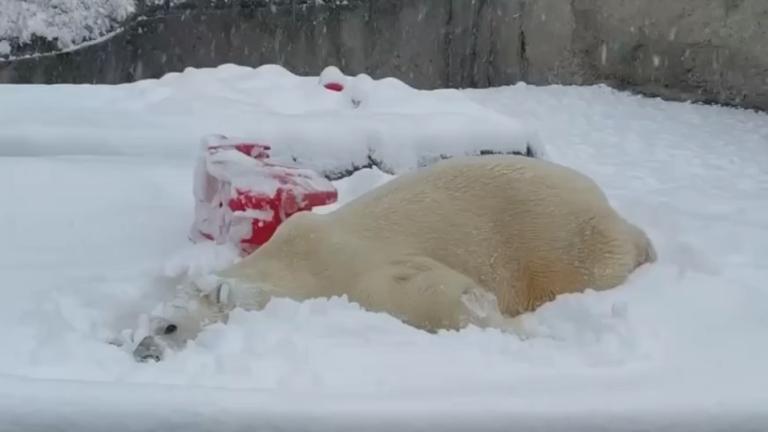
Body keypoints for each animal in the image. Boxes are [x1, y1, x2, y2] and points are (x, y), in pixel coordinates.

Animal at [132, 155, 656, 362]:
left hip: (561, 239)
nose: (143, 353)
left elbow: (430, 290)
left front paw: (513, 329)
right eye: (143, 328)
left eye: (170, 327)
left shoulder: (347, 270)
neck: (289, 262)